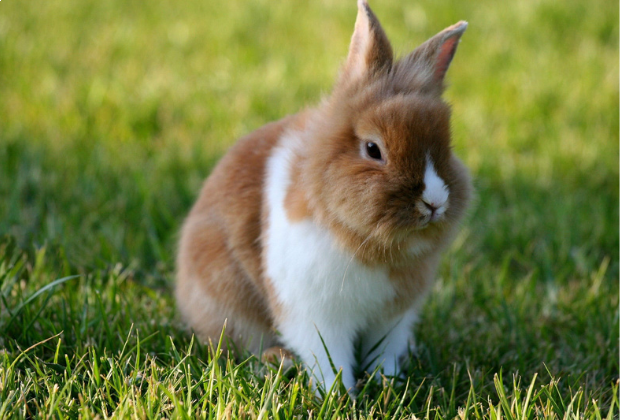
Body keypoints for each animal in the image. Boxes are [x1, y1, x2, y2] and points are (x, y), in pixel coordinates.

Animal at [177, 0, 472, 394]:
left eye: (446, 147)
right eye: (373, 149)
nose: (435, 202)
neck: (372, 244)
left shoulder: (393, 318)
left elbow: (384, 352)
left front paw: (388, 383)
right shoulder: (314, 314)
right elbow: (328, 357)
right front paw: (338, 394)